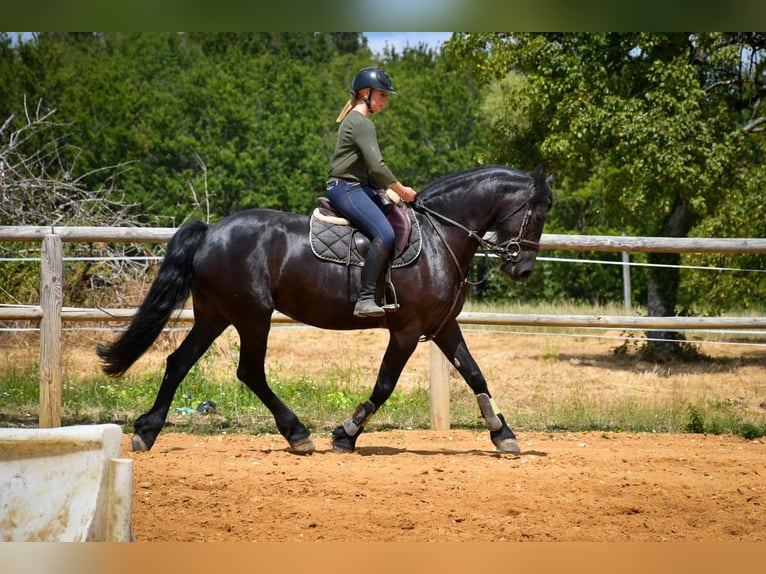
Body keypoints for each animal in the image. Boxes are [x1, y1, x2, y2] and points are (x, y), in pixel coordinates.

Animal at [97, 164, 552, 456]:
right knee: (249, 371)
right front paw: (346, 434)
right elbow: (384, 385)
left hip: (216, 316)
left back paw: (147, 431)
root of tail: (210, 232)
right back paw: (297, 433)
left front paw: (503, 433)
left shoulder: (442, 327)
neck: (441, 235)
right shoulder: (406, 331)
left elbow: (475, 374)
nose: (522, 268)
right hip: (252, 317)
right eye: (538, 212)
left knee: (179, 362)